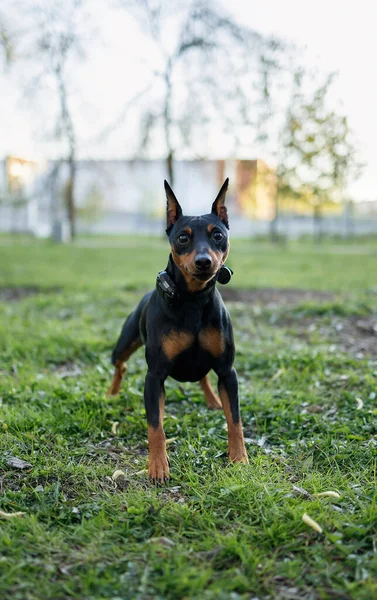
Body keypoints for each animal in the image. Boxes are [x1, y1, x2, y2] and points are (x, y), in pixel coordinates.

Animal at [107, 178, 248, 482]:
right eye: (183, 238)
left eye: (218, 235)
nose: (204, 261)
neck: (193, 301)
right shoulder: (154, 376)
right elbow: (155, 426)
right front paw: (158, 467)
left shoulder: (227, 371)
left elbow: (235, 420)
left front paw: (239, 457)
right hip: (124, 344)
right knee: (120, 365)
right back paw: (111, 394)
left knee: (203, 377)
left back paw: (213, 400)